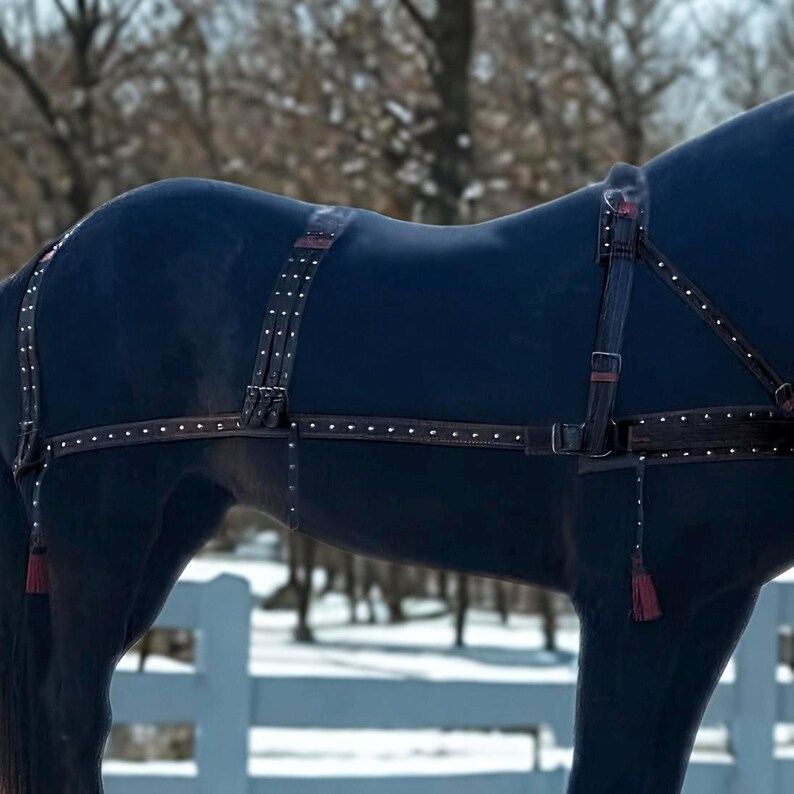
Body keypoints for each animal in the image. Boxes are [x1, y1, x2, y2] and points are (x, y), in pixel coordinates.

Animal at [1, 92, 794, 794]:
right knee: (71, 717)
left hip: (164, 518)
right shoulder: (633, 600)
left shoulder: (711, 599)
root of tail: (55, 257)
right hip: (99, 523)